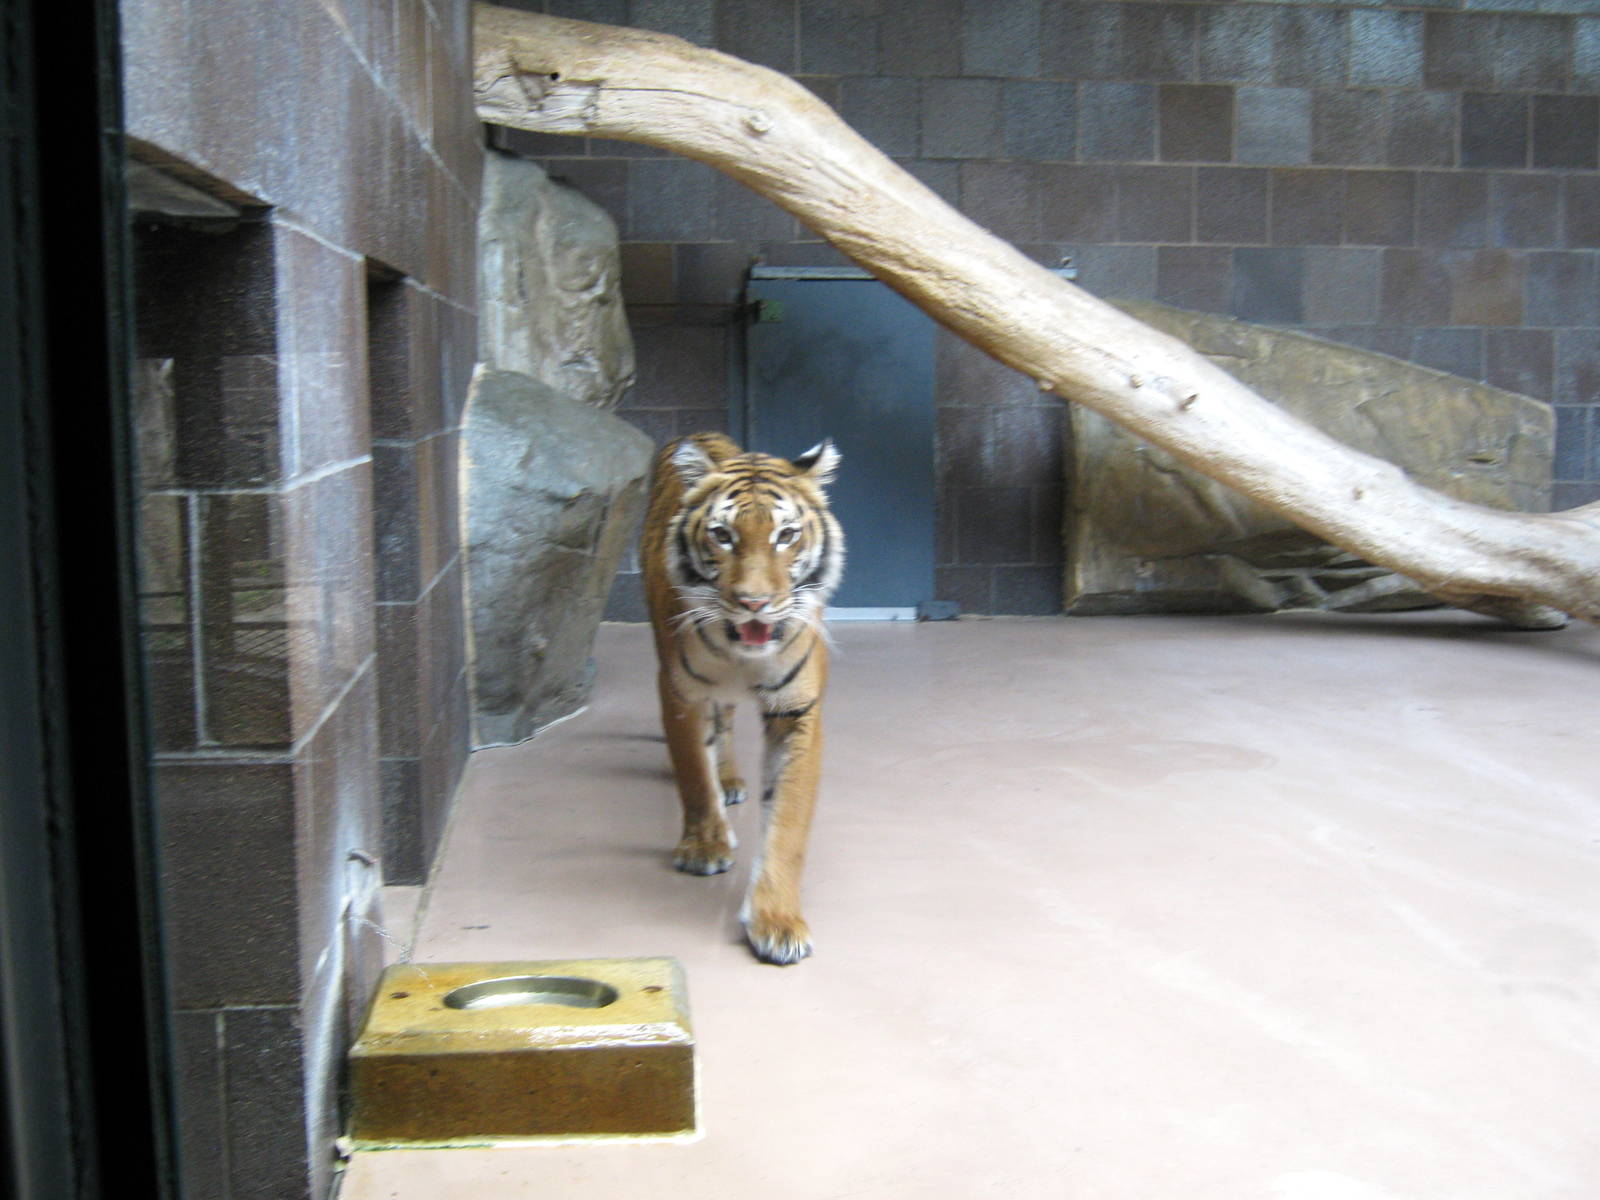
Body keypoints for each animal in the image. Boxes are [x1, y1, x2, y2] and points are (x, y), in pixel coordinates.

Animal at [640, 431, 845, 965]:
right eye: (723, 535)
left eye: (786, 536)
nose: (754, 602)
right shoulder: (681, 693)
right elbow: (694, 772)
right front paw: (705, 847)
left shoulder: (797, 710)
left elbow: (788, 822)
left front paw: (778, 920)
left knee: (728, 722)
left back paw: (730, 779)